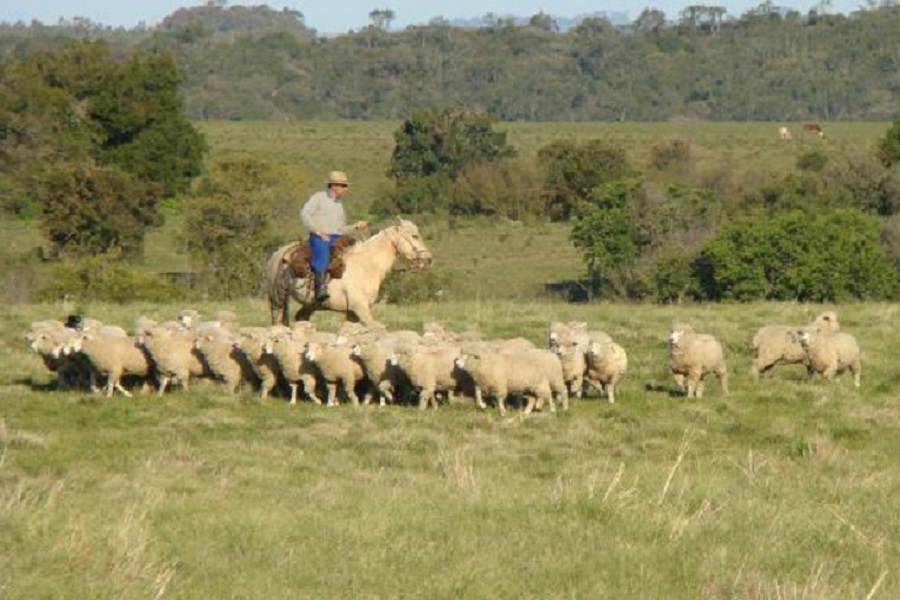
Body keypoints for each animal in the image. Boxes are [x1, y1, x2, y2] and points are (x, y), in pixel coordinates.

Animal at [266, 218, 434, 326]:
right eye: (414, 236)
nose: (428, 260)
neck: (366, 266)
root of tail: (278, 254)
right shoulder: (360, 309)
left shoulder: (352, 313)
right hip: (277, 301)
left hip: (310, 305)